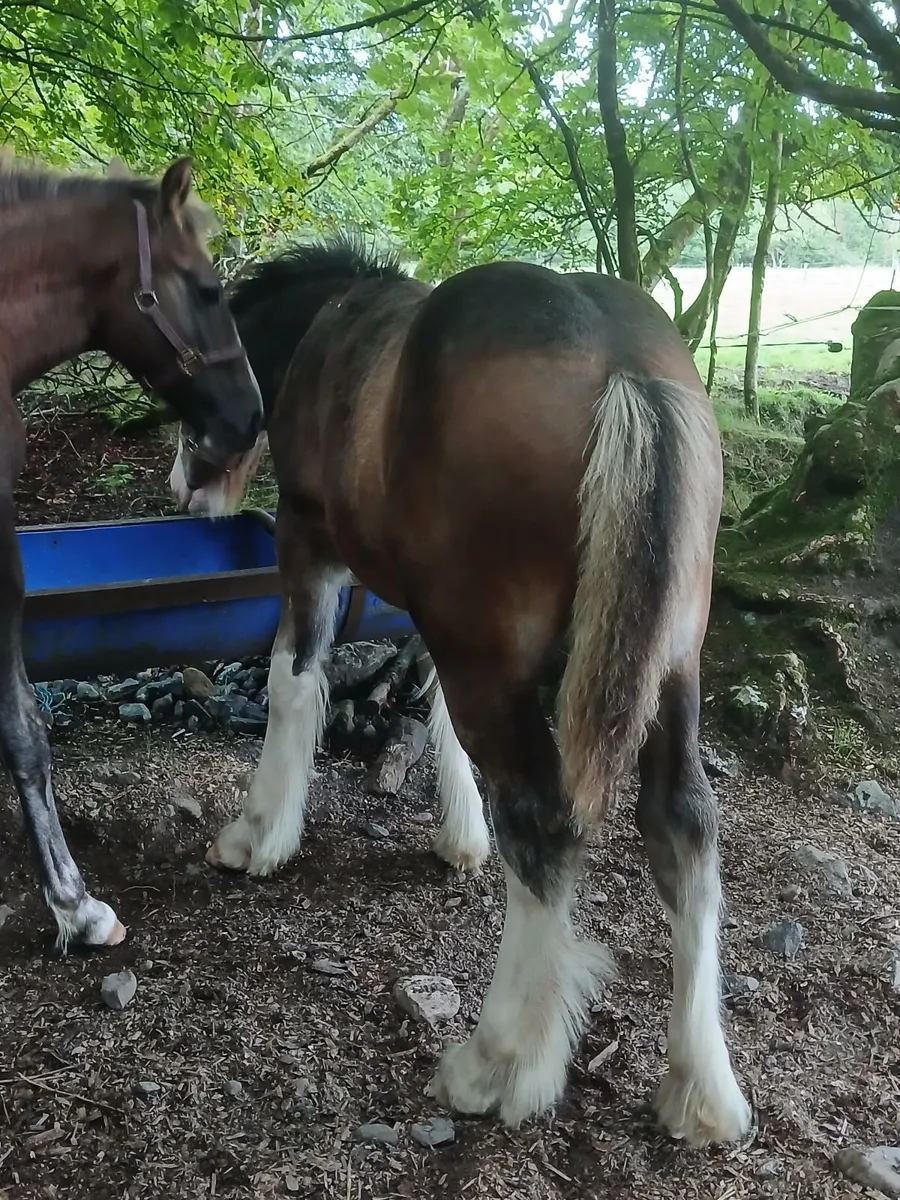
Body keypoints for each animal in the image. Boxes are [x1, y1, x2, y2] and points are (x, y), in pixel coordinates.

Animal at [169, 239, 751, 1146]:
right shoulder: (435, 613)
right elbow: (435, 706)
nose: (183, 485)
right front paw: (459, 834)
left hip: (499, 652)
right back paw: (702, 1090)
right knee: (683, 824)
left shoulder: (309, 543)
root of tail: (624, 369)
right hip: (668, 664)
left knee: (544, 824)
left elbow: (292, 681)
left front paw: (260, 834)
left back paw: (499, 1063)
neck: (326, 328)